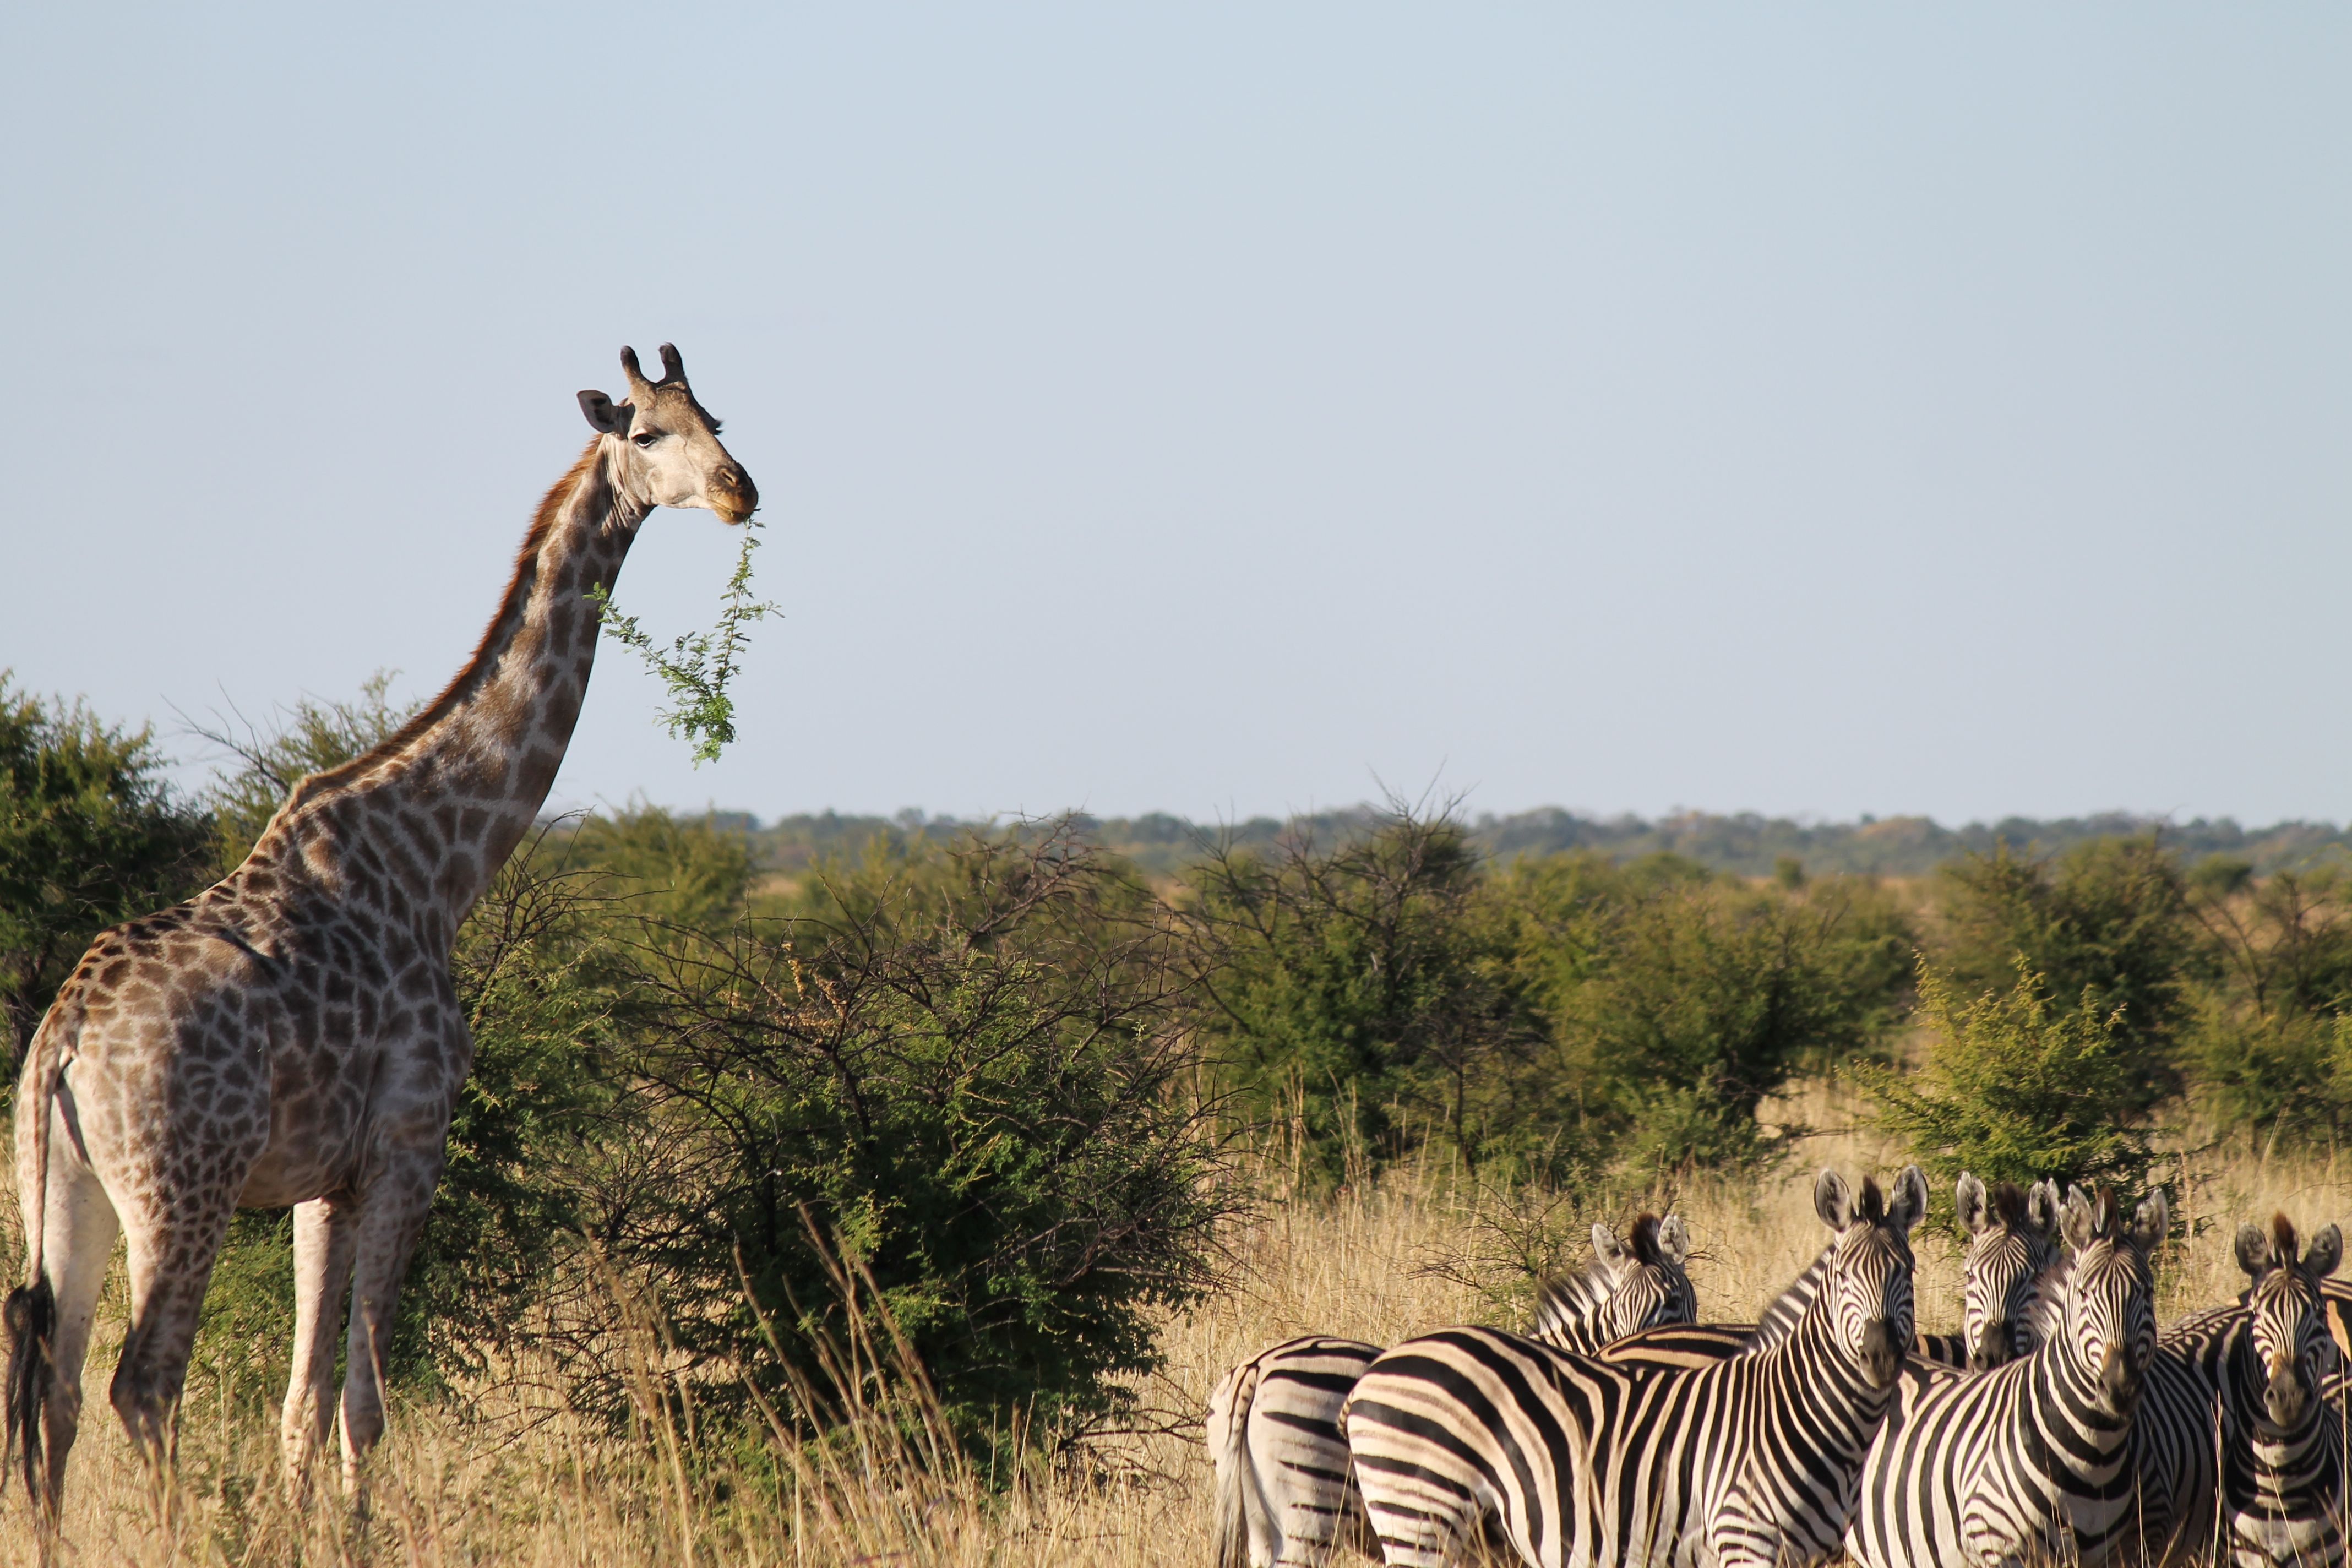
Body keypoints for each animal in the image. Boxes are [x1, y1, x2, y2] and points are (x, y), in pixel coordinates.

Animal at [0, 343, 753, 1523]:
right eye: (647, 432)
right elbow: (366, 1399)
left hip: (61, 1189)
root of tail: (63, 1043)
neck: (439, 864)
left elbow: (300, 1399)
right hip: (184, 1185)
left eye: (716, 417)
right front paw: (349, 1530)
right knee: (142, 1382)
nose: (739, 491)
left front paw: (300, 1527)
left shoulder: (325, 1177)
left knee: (52, 1387)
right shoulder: (410, 1143)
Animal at [1345, 1166, 1929, 1568]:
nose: (1880, 1356)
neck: (1796, 1410)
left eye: (1908, 1270)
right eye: (1843, 1275)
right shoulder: (1744, 1539)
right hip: (1417, 1517)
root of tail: (1377, 1370)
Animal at [1853, 1189, 2164, 1568]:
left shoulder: (2109, 1554)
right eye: (2083, 1294)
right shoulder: (1995, 1544)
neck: (2095, 1454)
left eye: (2147, 1293)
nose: (2121, 1386)